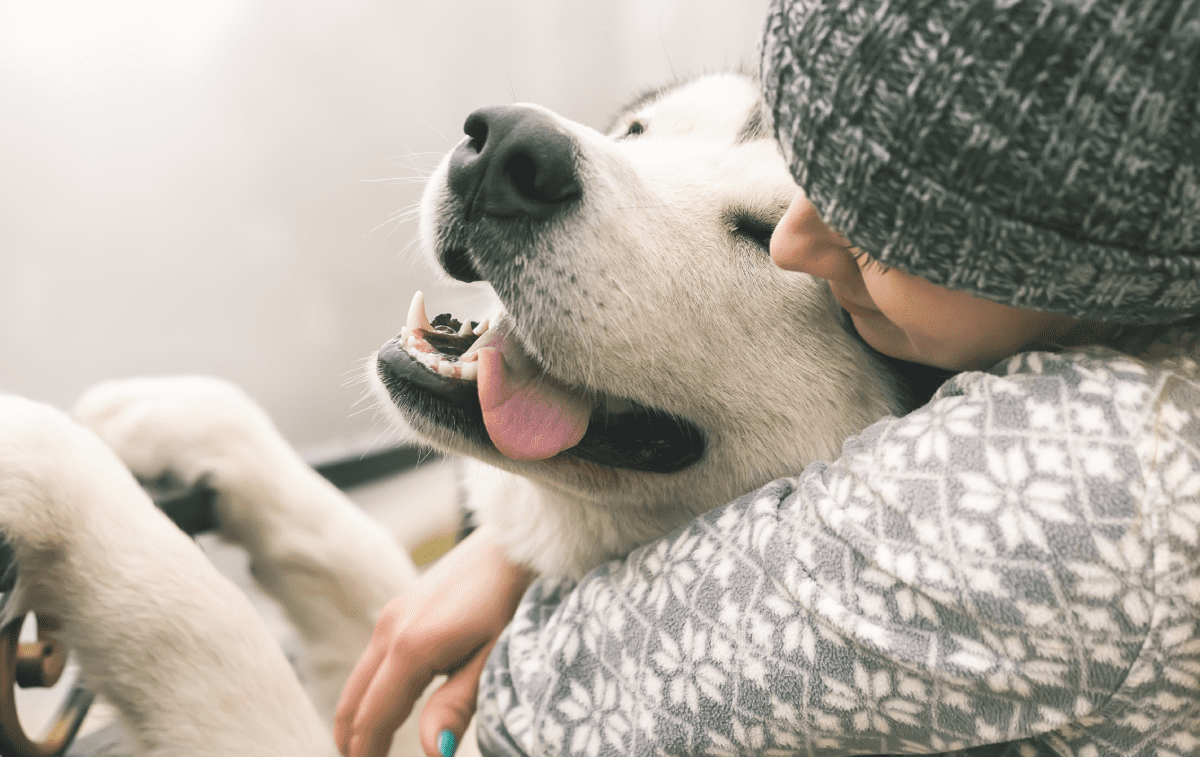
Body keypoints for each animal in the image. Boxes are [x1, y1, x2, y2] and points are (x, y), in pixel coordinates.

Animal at [0, 72, 902, 757]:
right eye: (638, 130)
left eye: (766, 232)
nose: (509, 148)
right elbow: (354, 556)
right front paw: (182, 419)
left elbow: (208, 630)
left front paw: (46, 460)